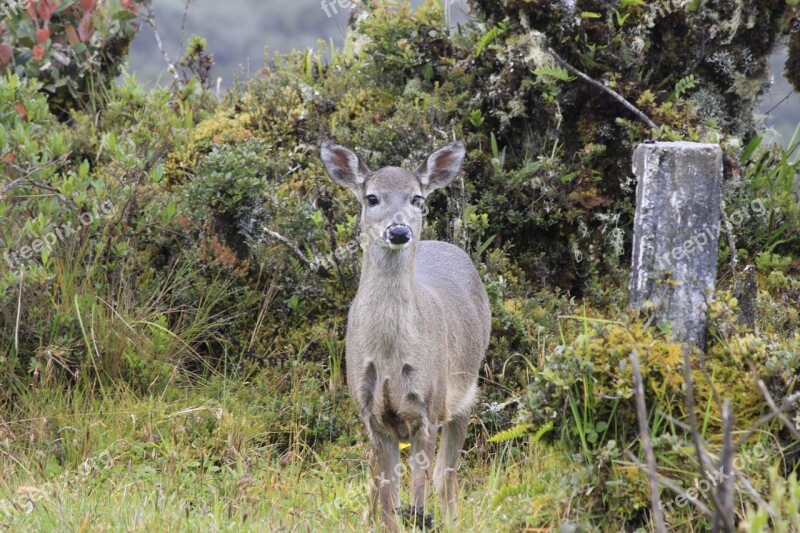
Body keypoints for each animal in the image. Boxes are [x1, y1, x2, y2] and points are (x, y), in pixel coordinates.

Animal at [322, 139, 490, 528]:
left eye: (417, 198)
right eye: (371, 197)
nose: (399, 231)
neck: (389, 357)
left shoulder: (428, 407)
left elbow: (418, 490)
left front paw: (423, 520)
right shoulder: (372, 415)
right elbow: (388, 499)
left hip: (464, 394)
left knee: (446, 475)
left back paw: (452, 521)